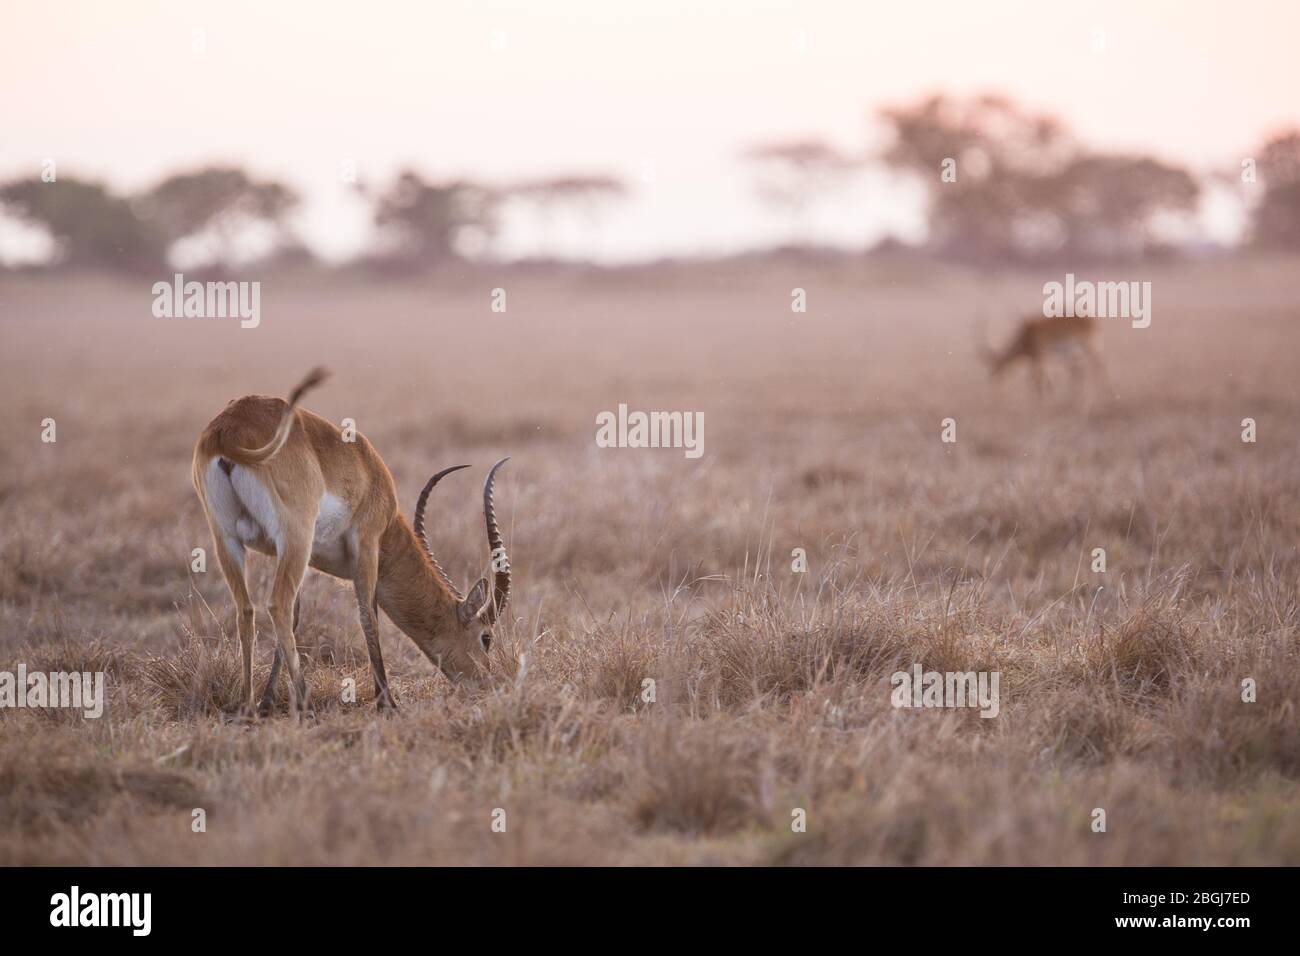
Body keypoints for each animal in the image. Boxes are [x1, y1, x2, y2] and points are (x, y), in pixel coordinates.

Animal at [192, 369, 506, 717]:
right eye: (486, 637)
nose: (487, 682)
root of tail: (228, 428)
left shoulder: (295, 557)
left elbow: (299, 616)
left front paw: (266, 702)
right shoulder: (366, 544)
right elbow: (368, 615)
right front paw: (387, 702)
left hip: (228, 540)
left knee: (246, 610)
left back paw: (248, 705)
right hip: (296, 536)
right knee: (277, 605)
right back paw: (305, 702)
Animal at [972, 312, 1112, 398]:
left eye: (997, 366)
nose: (993, 380)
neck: (1025, 336)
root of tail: (1091, 319)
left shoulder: (1040, 357)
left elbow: (1038, 379)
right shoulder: (1036, 359)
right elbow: (1034, 379)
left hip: (1090, 346)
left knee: (1100, 366)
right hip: (1073, 353)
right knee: (1079, 371)